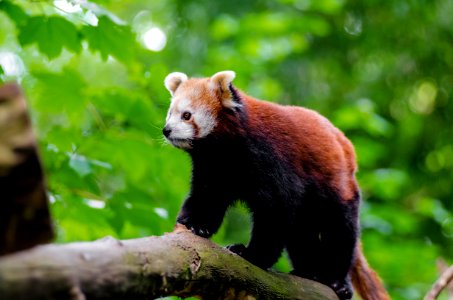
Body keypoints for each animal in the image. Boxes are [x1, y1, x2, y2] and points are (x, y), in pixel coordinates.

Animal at [162, 71, 388, 300]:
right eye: (170, 113)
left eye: (186, 115)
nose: (166, 130)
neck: (225, 149)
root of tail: (345, 144)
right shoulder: (213, 169)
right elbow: (207, 198)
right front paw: (194, 224)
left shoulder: (270, 159)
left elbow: (275, 212)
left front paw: (252, 254)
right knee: (301, 233)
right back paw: (308, 271)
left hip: (338, 187)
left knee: (341, 232)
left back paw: (337, 281)